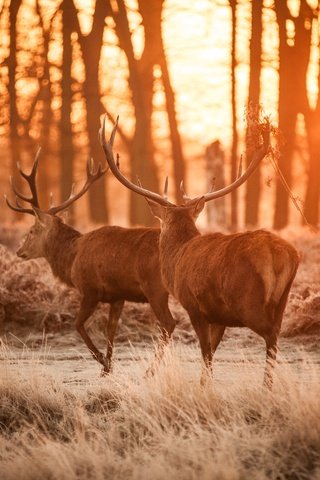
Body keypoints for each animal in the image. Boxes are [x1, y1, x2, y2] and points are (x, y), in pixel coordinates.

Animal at [5, 152, 175, 376]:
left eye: (32, 230)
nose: (19, 251)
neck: (72, 259)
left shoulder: (90, 289)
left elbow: (77, 324)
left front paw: (102, 361)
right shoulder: (117, 296)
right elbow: (111, 329)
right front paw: (108, 367)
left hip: (155, 289)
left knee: (169, 324)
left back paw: (151, 370)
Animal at [101, 117, 302, 390]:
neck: (176, 258)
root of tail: (279, 253)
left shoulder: (193, 304)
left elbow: (205, 351)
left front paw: (203, 387)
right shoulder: (218, 316)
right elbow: (212, 350)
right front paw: (205, 383)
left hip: (247, 301)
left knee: (270, 335)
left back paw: (265, 387)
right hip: (283, 299)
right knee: (277, 333)